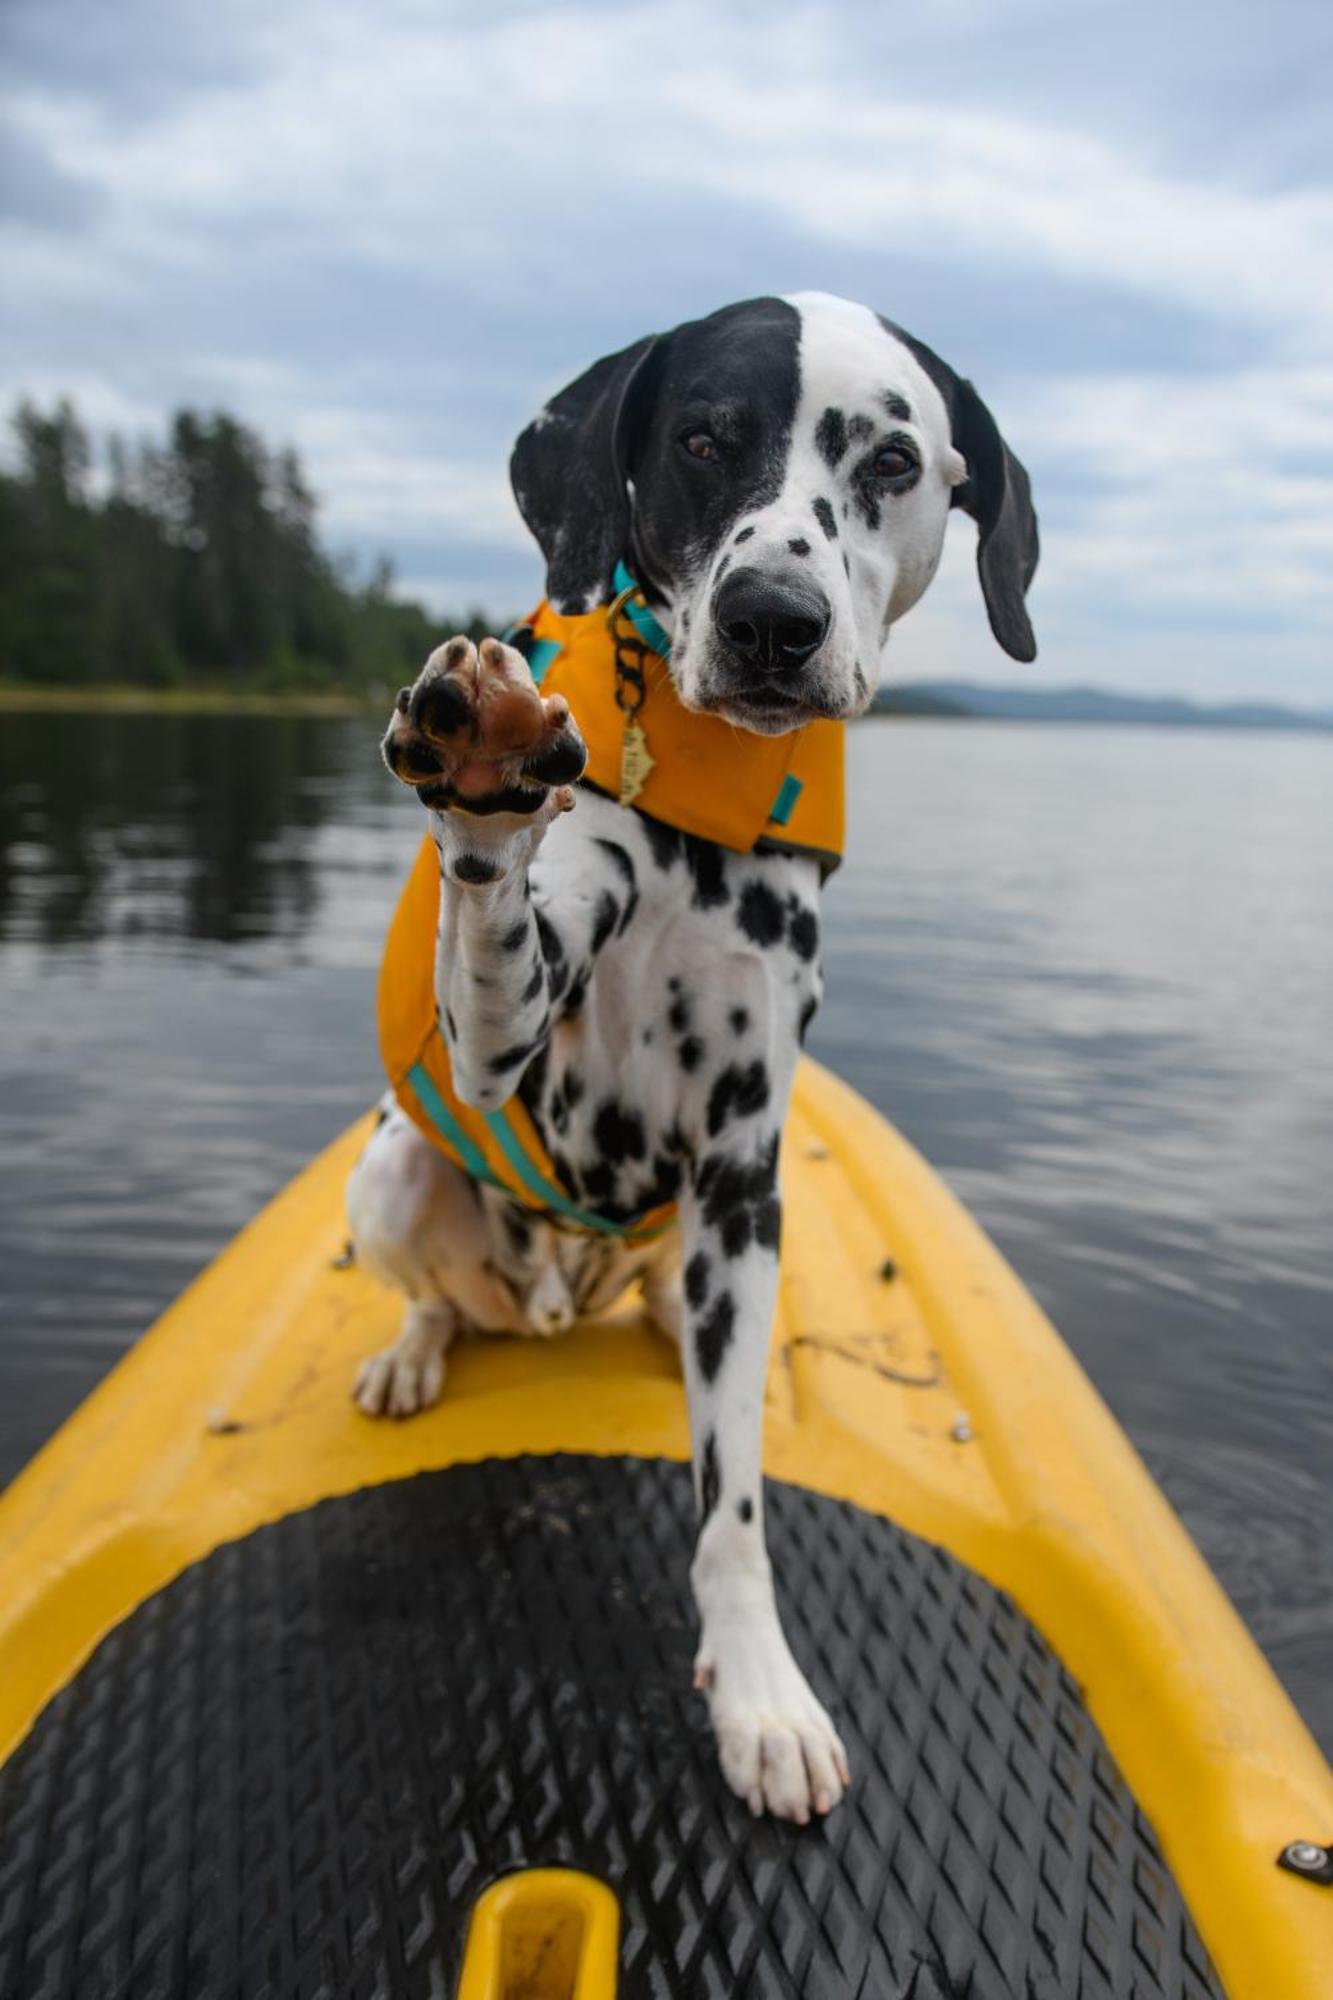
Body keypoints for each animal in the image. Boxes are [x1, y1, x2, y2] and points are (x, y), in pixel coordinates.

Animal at [344, 290, 1040, 1824]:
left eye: (892, 462)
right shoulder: (508, 1041)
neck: (701, 811)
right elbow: (496, 913)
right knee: (434, 1293)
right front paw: (484, 772)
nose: (771, 618)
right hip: (394, 1174)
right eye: (704, 439)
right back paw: (414, 1352)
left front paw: (761, 1697)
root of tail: (560, 1282)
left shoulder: (739, 1159)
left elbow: (734, 1503)